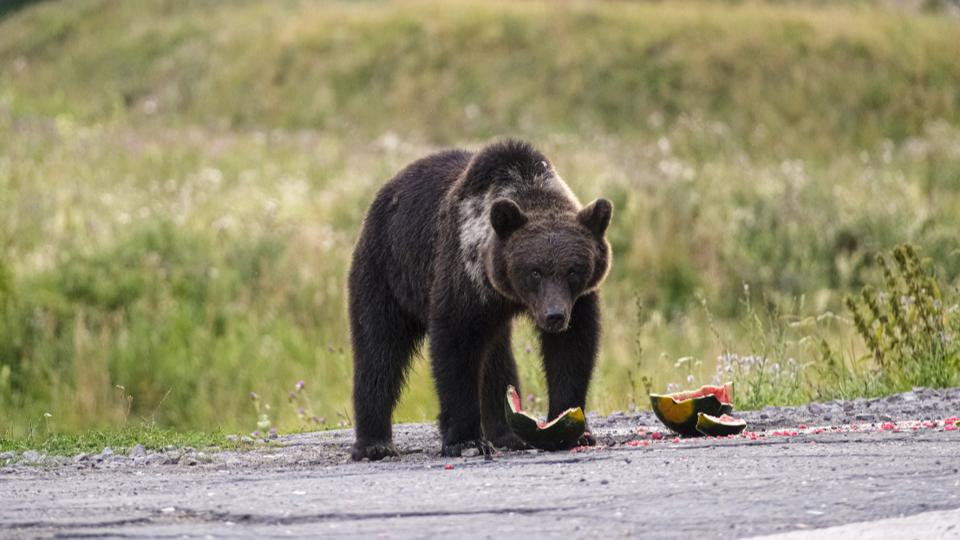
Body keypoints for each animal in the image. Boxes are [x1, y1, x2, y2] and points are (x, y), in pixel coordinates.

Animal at [348, 139, 612, 460]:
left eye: (573, 270)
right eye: (534, 271)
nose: (554, 315)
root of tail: (386, 191)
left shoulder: (578, 300)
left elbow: (572, 349)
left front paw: (574, 427)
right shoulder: (464, 277)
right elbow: (455, 348)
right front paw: (466, 440)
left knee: (496, 361)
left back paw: (508, 434)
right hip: (386, 271)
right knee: (379, 349)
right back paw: (374, 444)